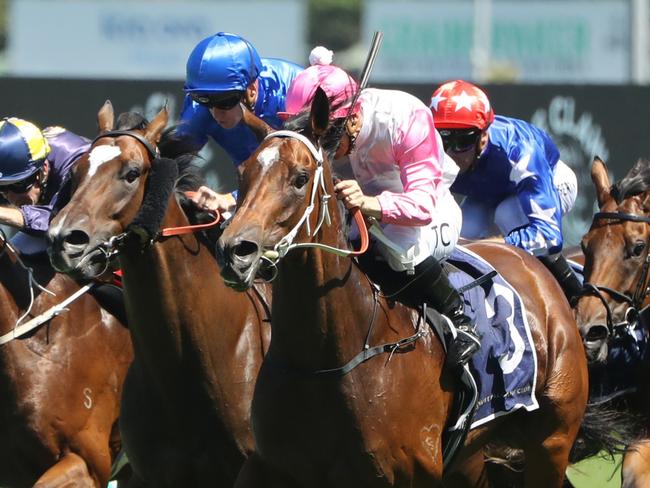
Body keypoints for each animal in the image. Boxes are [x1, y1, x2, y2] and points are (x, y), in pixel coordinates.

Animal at [216, 88, 588, 488]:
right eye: (243, 173)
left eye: (300, 178)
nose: (235, 251)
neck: (325, 359)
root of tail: (534, 265)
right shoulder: (267, 465)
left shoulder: (411, 472)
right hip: (474, 459)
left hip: (551, 442)